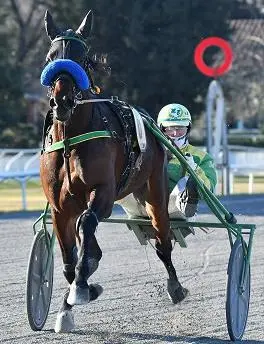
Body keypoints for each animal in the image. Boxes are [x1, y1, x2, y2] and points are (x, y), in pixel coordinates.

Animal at [39, 11, 188, 334]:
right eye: (50, 57)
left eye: (83, 60)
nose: (62, 101)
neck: (70, 139)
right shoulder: (59, 207)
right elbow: (69, 258)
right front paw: (72, 301)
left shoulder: (103, 192)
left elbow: (87, 226)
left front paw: (83, 287)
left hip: (154, 192)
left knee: (163, 242)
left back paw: (176, 288)